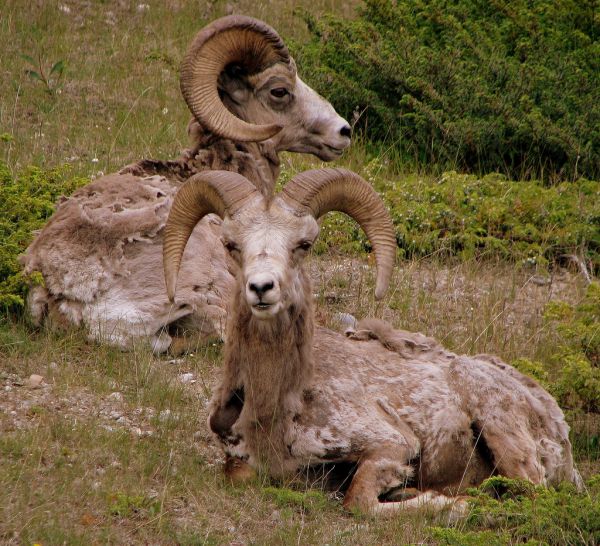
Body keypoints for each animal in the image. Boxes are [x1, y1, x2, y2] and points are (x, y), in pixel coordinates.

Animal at [163, 169, 580, 516]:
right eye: (231, 244)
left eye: (304, 244)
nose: (262, 288)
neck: (276, 407)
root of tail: (550, 413)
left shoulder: (391, 445)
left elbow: (359, 501)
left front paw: (448, 502)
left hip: (503, 433)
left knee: (527, 495)